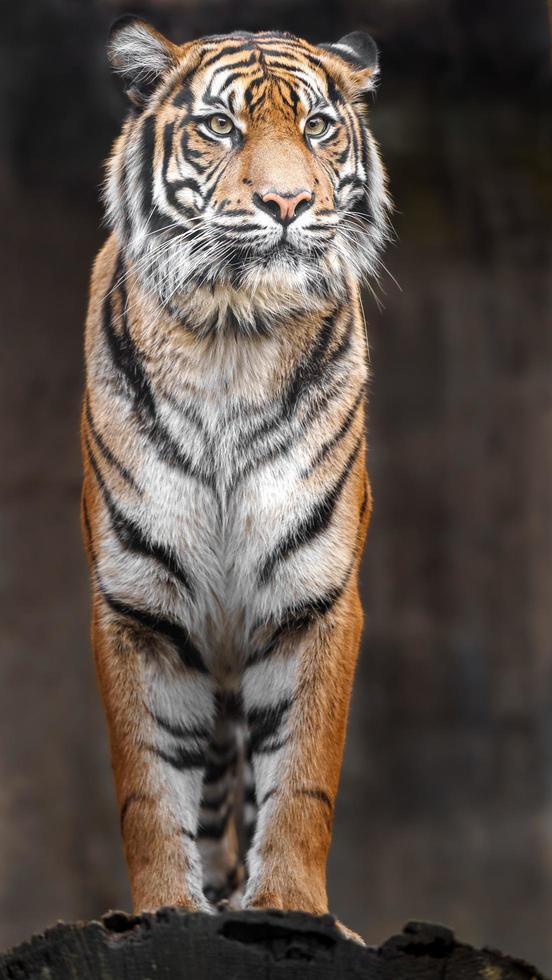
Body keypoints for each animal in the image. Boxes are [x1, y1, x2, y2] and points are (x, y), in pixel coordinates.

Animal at [82, 17, 390, 940]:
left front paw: (290, 909)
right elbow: (148, 784)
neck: (233, 338)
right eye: (221, 127)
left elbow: (303, 780)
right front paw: (163, 911)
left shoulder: (314, 594)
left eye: (318, 127)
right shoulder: (136, 603)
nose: (287, 204)